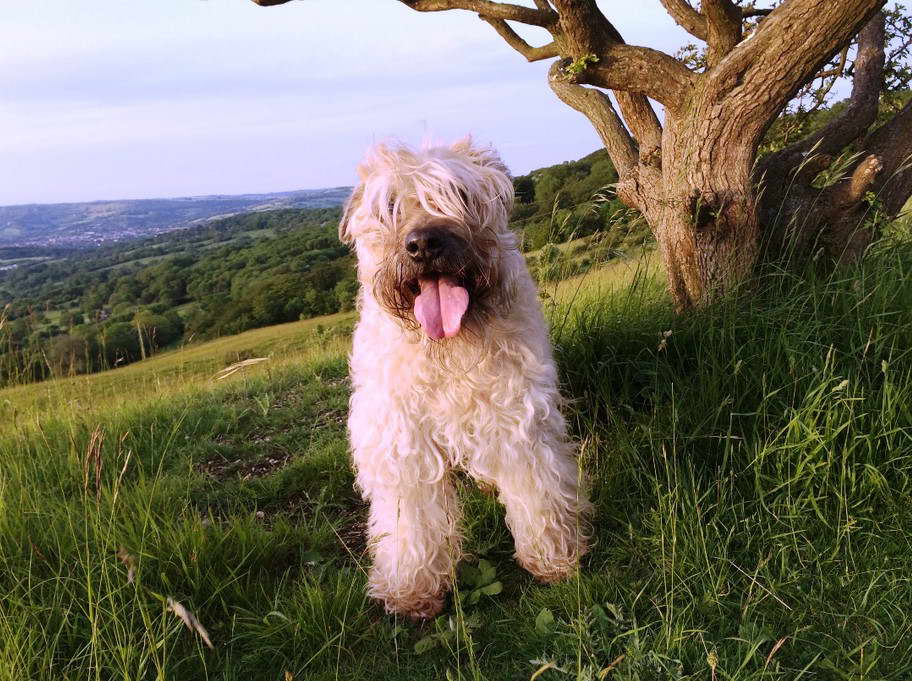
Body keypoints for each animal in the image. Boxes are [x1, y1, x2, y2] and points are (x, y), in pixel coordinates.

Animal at [340, 138, 592, 616]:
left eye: (459, 194)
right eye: (390, 205)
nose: (423, 243)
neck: (448, 352)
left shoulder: (516, 420)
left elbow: (538, 493)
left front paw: (553, 557)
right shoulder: (403, 443)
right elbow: (410, 524)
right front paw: (411, 589)